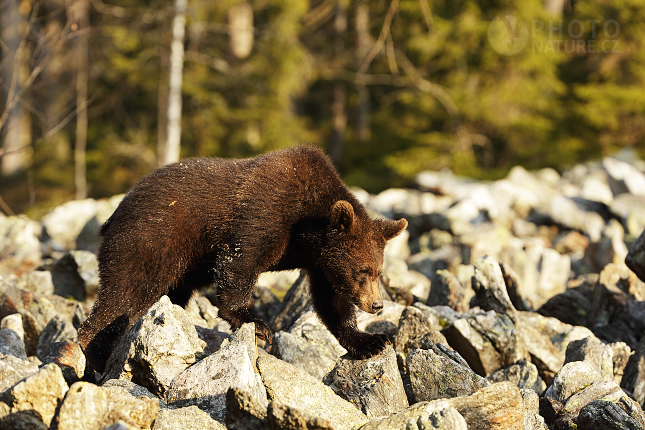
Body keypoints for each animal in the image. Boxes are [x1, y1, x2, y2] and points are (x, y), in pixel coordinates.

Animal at [76, 145, 408, 372]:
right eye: (362, 270)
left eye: (378, 271)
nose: (376, 305)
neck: (307, 229)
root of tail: (114, 212)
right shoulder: (266, 214)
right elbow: (240, 261)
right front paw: (256, 323)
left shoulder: (319, 262)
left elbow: (332, 303)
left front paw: (371, 341)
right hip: (150, 240)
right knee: (125, 293)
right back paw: (97, 352)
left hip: (180, 264)